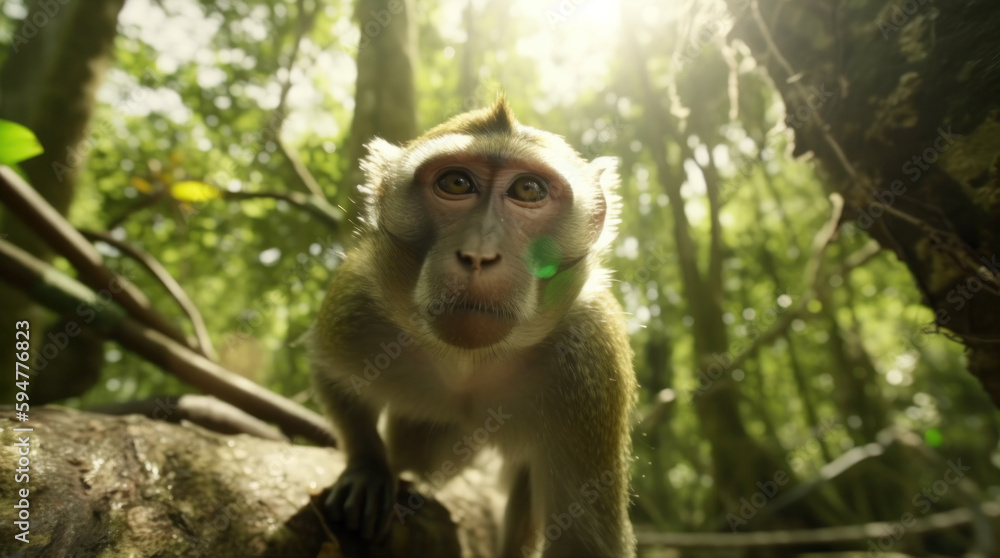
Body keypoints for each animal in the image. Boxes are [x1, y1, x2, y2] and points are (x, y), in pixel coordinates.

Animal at [309, 96, 636, 557]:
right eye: (456, 183)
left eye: (528, 190)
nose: (479, 253)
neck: (471, 362)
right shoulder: (359, 299)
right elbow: (331, 374)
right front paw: (368, 468)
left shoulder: (592, 356)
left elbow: (583, 543)